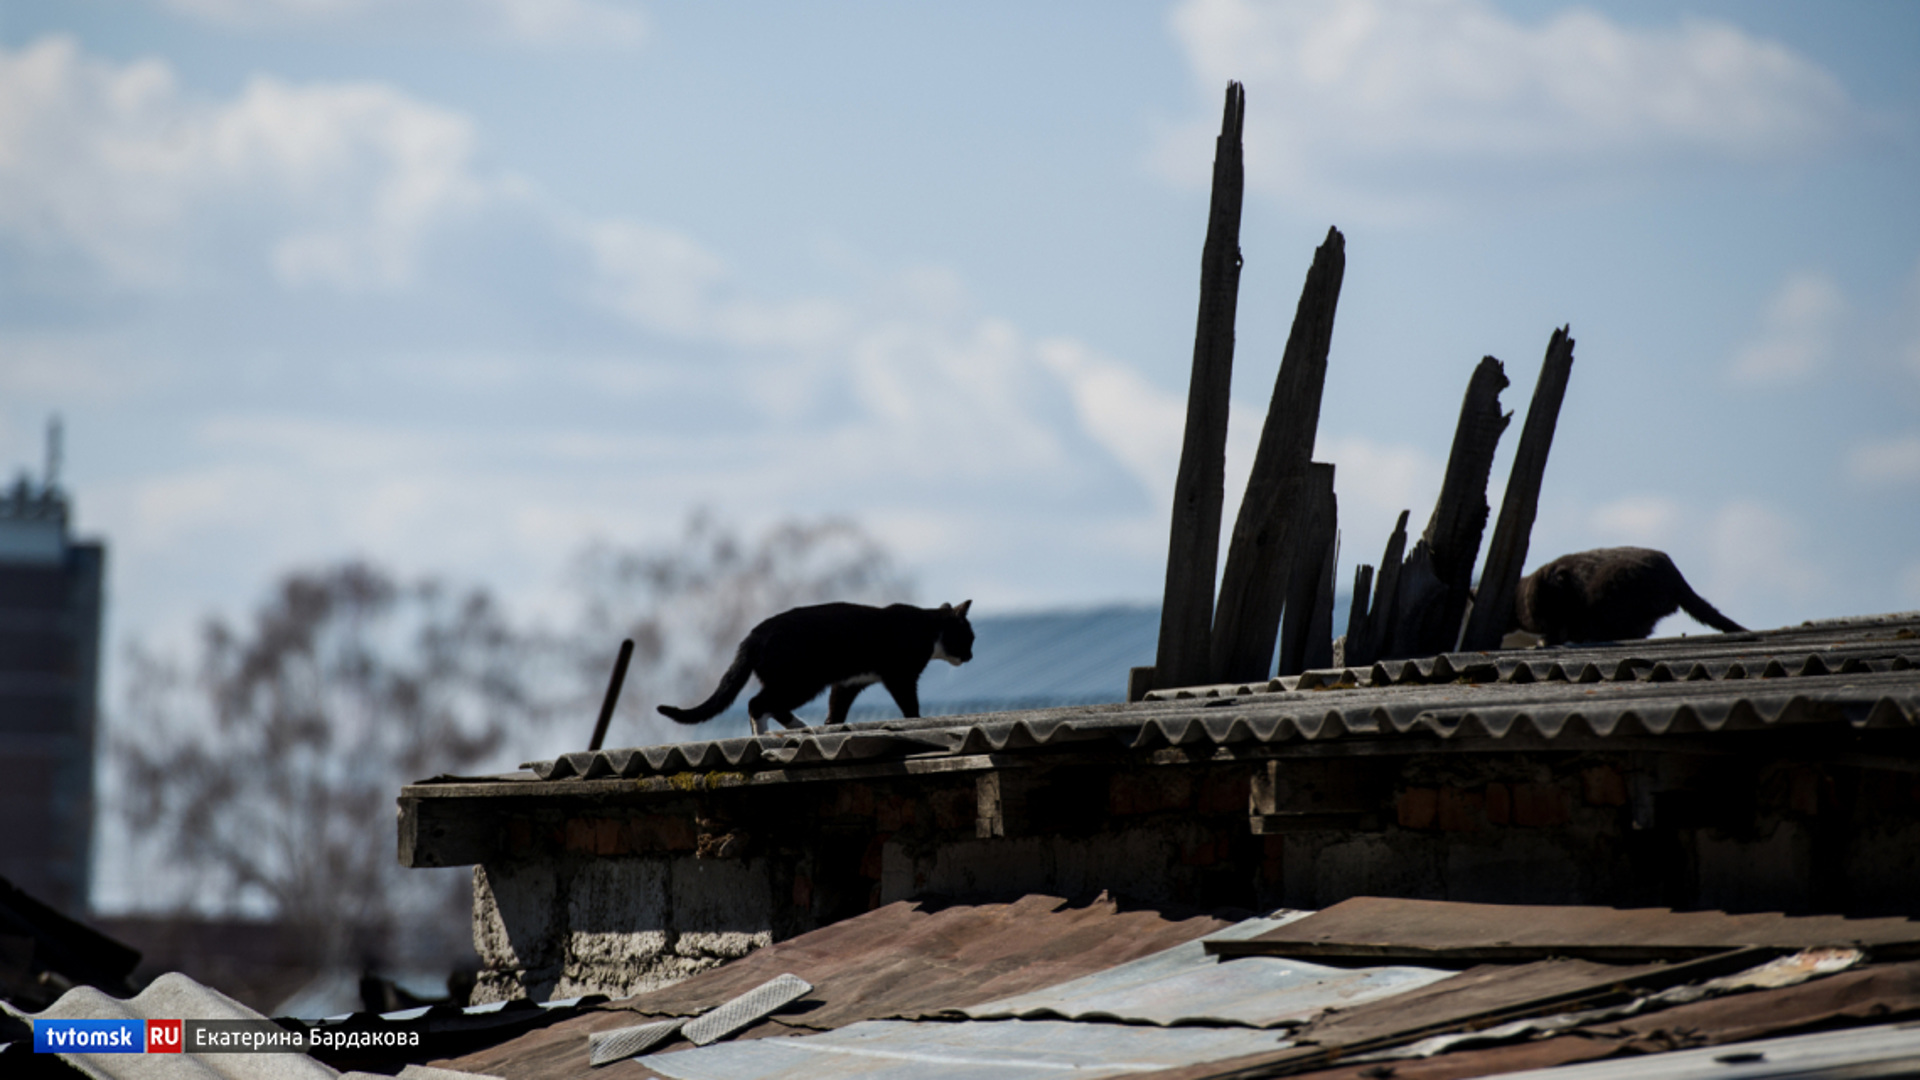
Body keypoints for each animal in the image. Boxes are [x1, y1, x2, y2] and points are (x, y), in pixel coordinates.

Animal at [660, 591, 975, 734]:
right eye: (969, 638)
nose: (971, 656)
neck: (929, 628)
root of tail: (752, 635)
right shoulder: (900, 676)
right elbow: (910, 705)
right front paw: (917, 720)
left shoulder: (848, 683)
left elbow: (837, 707)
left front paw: (831, 723)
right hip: (802, 679)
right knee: (757, 703)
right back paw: (763, 735)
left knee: (770, 704)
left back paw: (799, 726)